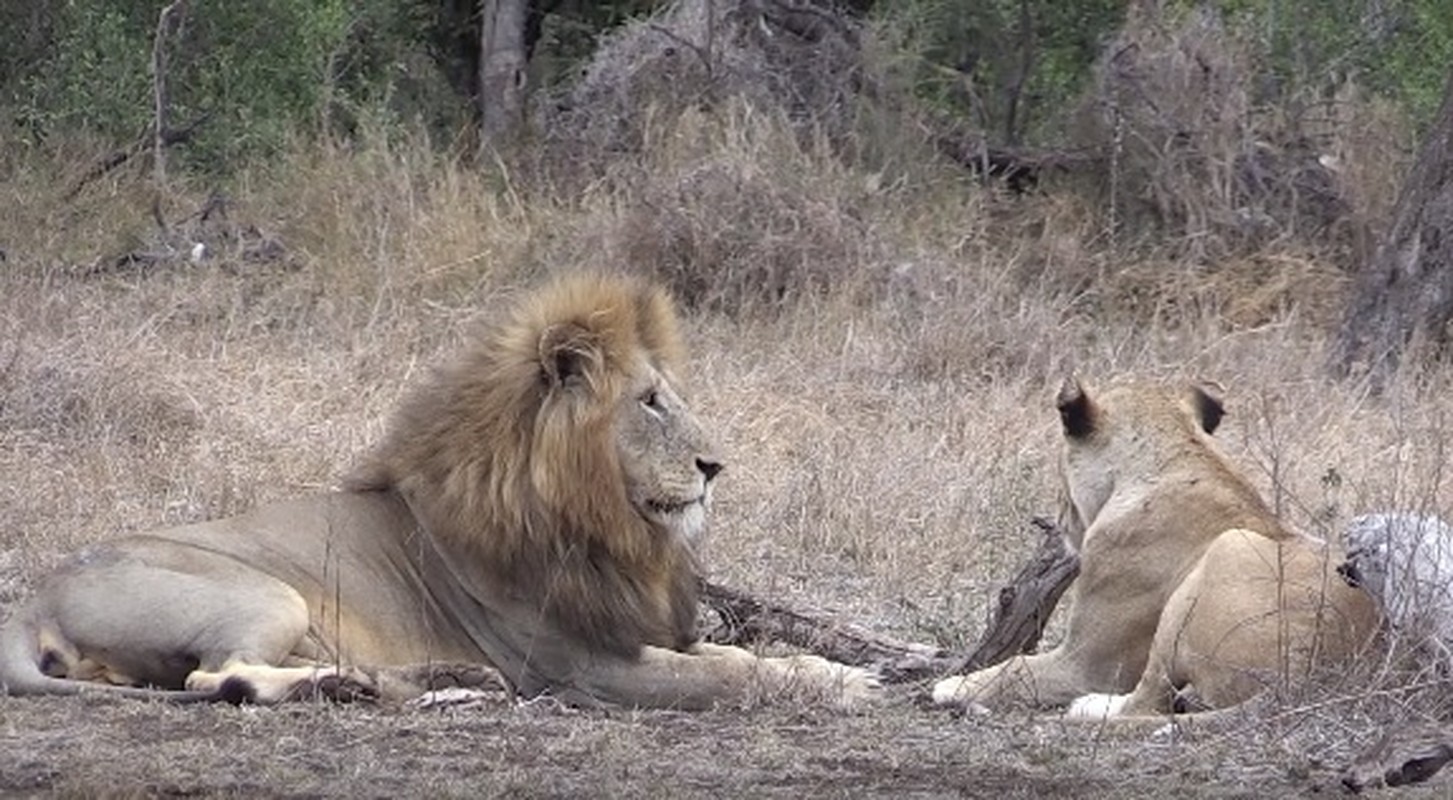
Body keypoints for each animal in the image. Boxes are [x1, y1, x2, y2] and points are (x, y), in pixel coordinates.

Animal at [0, 274, 877, 708]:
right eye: (650, 401)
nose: (715, 466)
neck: (600, 526)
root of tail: (31, 599)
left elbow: (739, 651)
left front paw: (830, 669)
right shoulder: (581, 667)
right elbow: (728, 674)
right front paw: (838, 689)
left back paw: (423, 682)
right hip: (269, 595)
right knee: (213, 679)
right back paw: (351, 685)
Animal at [935, 377, 1377, 717]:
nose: (1059, 519)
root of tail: (1309, 676)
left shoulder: (1089, 663)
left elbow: (1016, 666)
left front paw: (953, 687)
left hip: (1222, 555)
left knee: (1145, 700)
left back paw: (1087, 706)